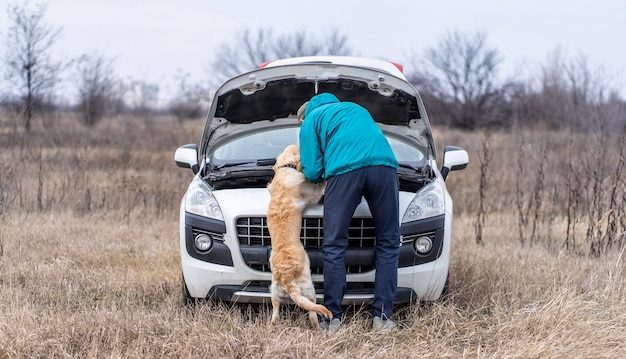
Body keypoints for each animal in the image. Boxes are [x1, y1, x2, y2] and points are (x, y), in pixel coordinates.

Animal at [266, 145, 332, 330]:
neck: (285, 167)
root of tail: (286, 277)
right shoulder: (312, 194)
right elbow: (319, 186)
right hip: (309, 289)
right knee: (312, 313)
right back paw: (319, 329)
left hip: (274, 292)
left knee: (275, 313)